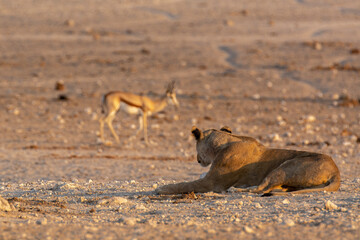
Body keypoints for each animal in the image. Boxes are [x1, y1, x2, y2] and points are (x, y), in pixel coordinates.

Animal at [155, 125, 340, 195]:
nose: (197, 160)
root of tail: (336, 171)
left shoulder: (212, 183)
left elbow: (184, 185)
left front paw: (161, 189)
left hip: (287, 166)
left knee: (261, 188)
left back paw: (238, 189)